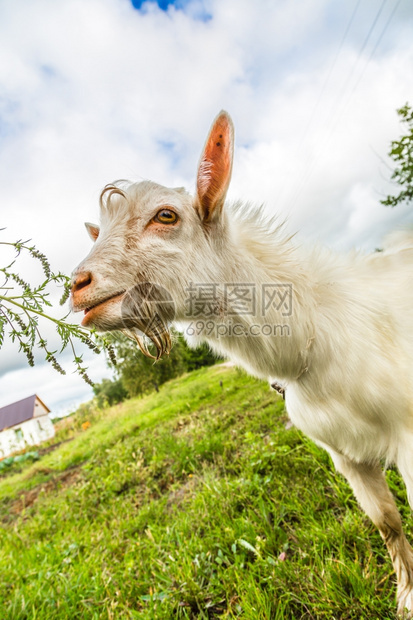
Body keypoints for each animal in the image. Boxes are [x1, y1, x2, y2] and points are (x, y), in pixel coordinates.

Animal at [72, 110, 412, 616]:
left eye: (166, 215)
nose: (78, 284)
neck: (319, 333)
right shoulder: (343, 453)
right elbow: (387, 522)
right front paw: (405, 598)